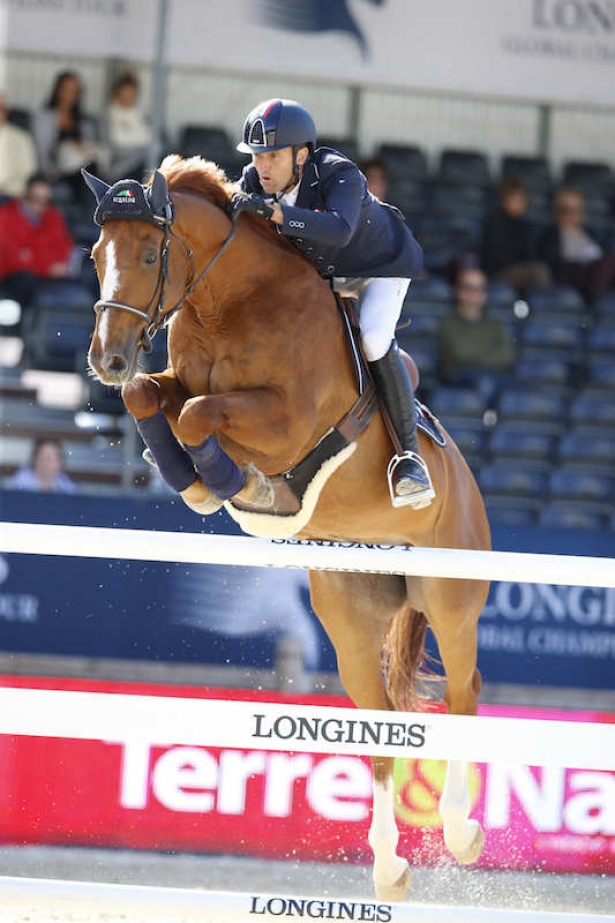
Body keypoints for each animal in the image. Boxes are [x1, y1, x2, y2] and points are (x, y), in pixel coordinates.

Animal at [84, 159, 494, 904]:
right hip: (350, 616)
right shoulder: (177, 382)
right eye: (97, 256)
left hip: (449, 596)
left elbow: (199, 412)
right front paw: (195, 479)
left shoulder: (286, 422)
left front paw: (228, 482)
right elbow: (154, 397)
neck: (230, 301)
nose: (108, 359)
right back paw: (389, 868)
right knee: (382, 723)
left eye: (152, 256)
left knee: (461, 694)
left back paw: (460, 833)